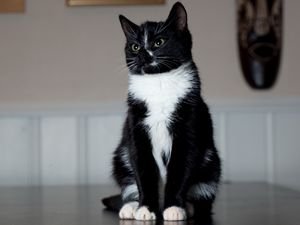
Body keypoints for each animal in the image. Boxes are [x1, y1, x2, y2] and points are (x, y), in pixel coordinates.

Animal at [102, 1, 221, 221]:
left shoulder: (189, 124)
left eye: (159, 42)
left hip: (211, 162)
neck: (159, 83)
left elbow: (181, 167)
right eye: (135, 46)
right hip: (121, 157)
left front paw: (173, 207)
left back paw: (188, 206)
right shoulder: (136, 128)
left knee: (205, 199)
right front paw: (145, 208)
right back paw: (130, 206)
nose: (143, 54)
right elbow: (143, 170)